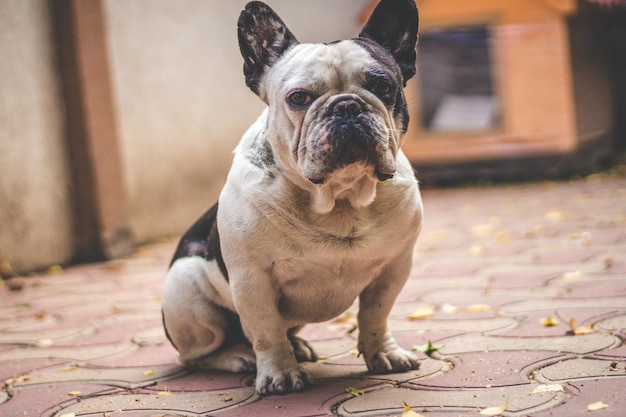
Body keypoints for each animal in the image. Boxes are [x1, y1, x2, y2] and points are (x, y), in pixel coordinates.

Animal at [162, 0, 424, 394]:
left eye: (382, 86)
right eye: (299, 98)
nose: (347, 106)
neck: (340, 200)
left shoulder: (393, 269)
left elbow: (376, 315)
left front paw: (383, 354)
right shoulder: (252, 281)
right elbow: (266, 329)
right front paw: (280, 374)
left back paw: (297, 346)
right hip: (187, 289)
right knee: (197, 354)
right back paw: (239, 356)